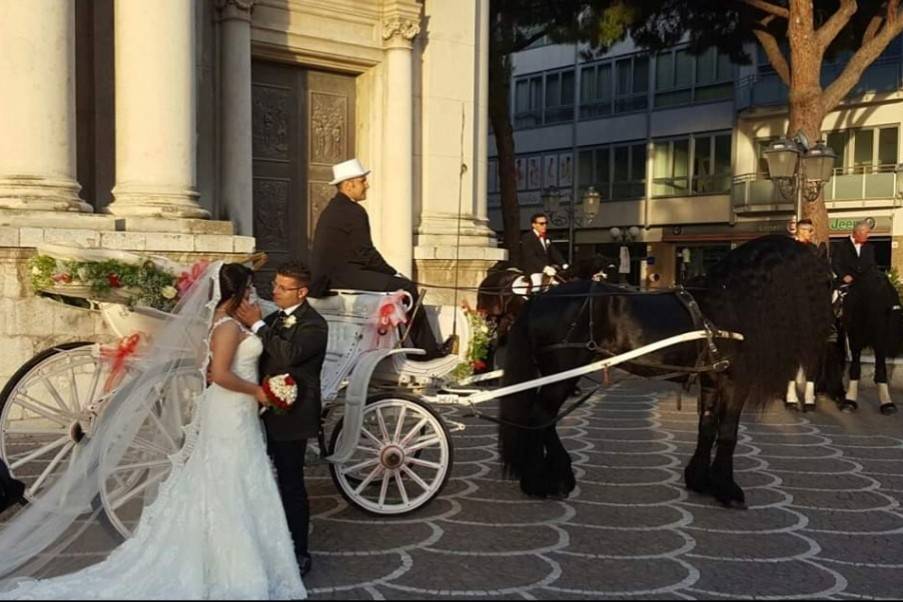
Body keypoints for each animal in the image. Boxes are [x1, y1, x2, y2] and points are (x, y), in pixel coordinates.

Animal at [502, 234, 832, 506]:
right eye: (823, 281)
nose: (830, 334)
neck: (729, 303)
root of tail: (540, 299)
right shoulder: (734, 382)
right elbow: (728, 433)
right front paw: (728, 489)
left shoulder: (712, 381)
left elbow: (707, 428)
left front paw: (700, 480)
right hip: (563, 373)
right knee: (541, 418)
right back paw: (540, 482)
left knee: (545, 421)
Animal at [832, 270, 903, 412]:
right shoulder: (855, 338)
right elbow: (855, 367)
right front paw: (850, 401)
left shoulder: (880, 341)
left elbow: (881, 369)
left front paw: (887, 403)